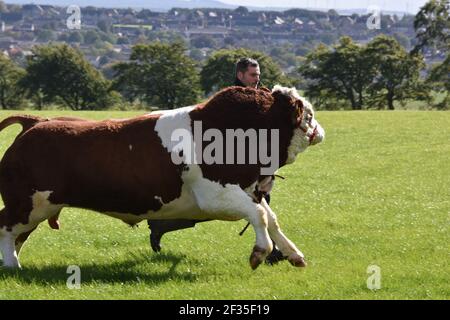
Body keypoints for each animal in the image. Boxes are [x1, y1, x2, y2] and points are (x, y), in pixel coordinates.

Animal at [0, 85, 324, 270]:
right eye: (307, 115)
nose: (319, 131)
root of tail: (36, 122)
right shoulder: (216, 196)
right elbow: (259, 215)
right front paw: (259, 253)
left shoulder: (247, 189)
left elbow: (270, 218)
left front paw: (293, 254)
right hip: (28, 205)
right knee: (7, 228)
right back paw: (12, 265)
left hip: (38, 207)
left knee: (18, 234)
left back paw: (11, 261)